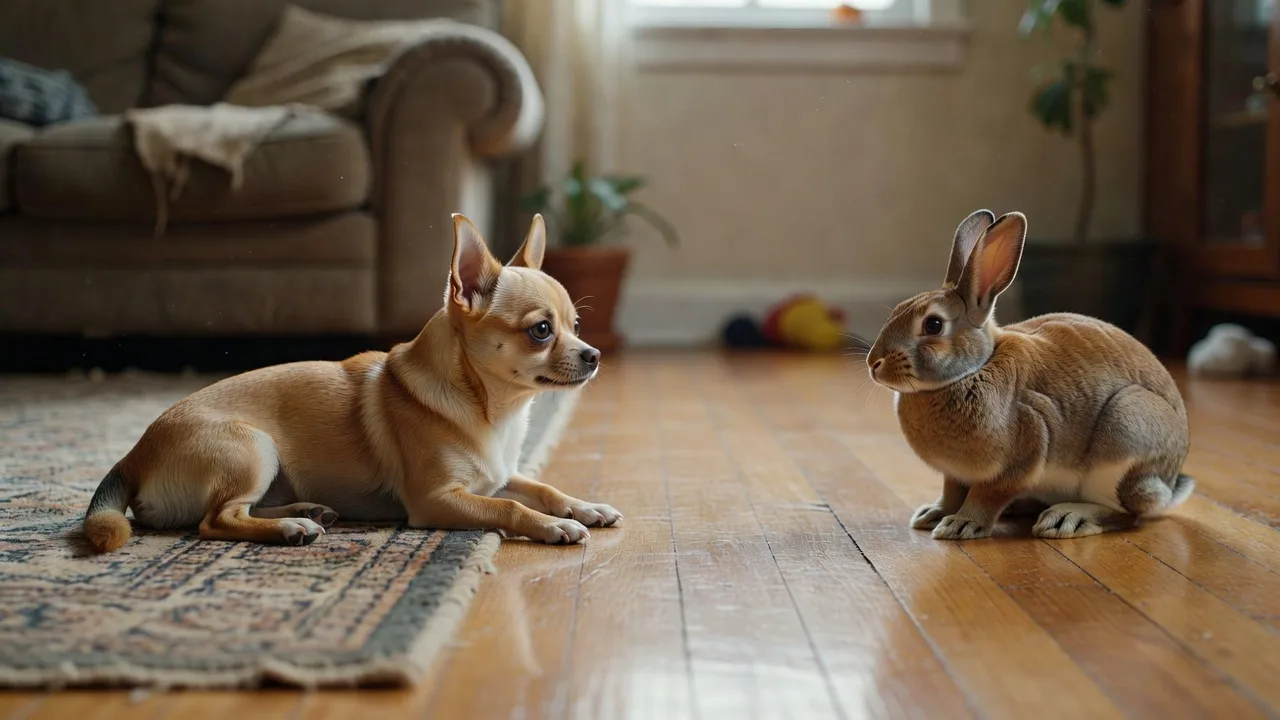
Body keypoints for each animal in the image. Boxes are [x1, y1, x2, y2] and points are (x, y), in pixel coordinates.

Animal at [865, 210, 1193, 540]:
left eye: (933, 325)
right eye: (898, 309)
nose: (873, 362)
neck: (975, 368)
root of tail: (1168, 482)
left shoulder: (1021, 453)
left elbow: (987, 496)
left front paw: (962, 524)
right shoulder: (955, 474)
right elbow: (952, 493)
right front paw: (933, 514)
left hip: (1124, 434)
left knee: (1125, 513)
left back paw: (1067, 518)